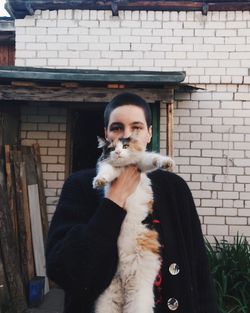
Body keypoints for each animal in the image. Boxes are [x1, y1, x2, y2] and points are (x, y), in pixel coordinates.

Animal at [93, 135, 175, 312]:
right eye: (111, 148)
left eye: (125, 146)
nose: (118, 152)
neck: (123, 168)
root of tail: (124, 279)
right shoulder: (109, 167)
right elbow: (106, 172)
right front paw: (99, 181)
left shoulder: (141, 163)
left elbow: (153, 158)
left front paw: (167, 163)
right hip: (107, 298)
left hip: (138, 293)